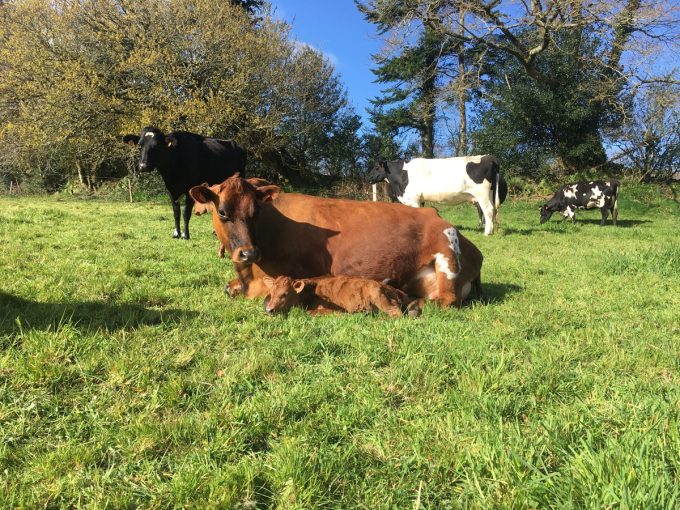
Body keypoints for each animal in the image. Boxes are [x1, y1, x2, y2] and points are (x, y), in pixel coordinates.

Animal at [189, 175, 484, 308]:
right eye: (223, 212)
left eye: (256, 211)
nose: (248, 253)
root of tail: (435, 214)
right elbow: (229, 288)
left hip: (447, 256)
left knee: (445, 300)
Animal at [366, 155, 502, 235]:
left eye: (376, 167)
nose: (368, 177)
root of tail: (489, 157)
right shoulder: (420, 199)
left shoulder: (413, 199)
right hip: (490, 194)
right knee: (493, 210)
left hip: (482, 195)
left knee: (488, 210)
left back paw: (487, 233)